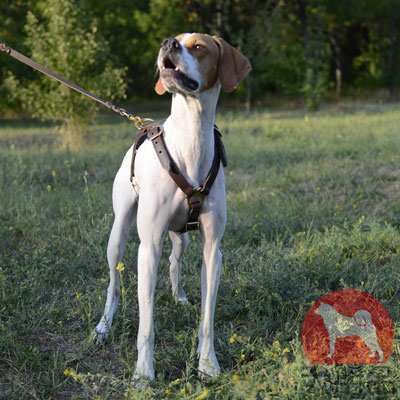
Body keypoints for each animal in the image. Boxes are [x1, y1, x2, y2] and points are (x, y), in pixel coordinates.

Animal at [92, 34, 252, 384]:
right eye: (177, 39)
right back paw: (103, 327)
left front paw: (207, 364)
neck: (191, 139)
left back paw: (178, 296)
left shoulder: (213, 249)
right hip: (118, 235)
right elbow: (146, 326)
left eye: (199, 46)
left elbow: (207, 319)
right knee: (112, 284)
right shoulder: (147, 248)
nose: (168, 44)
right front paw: (143, 374)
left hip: (183, 236)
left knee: (174, 260)